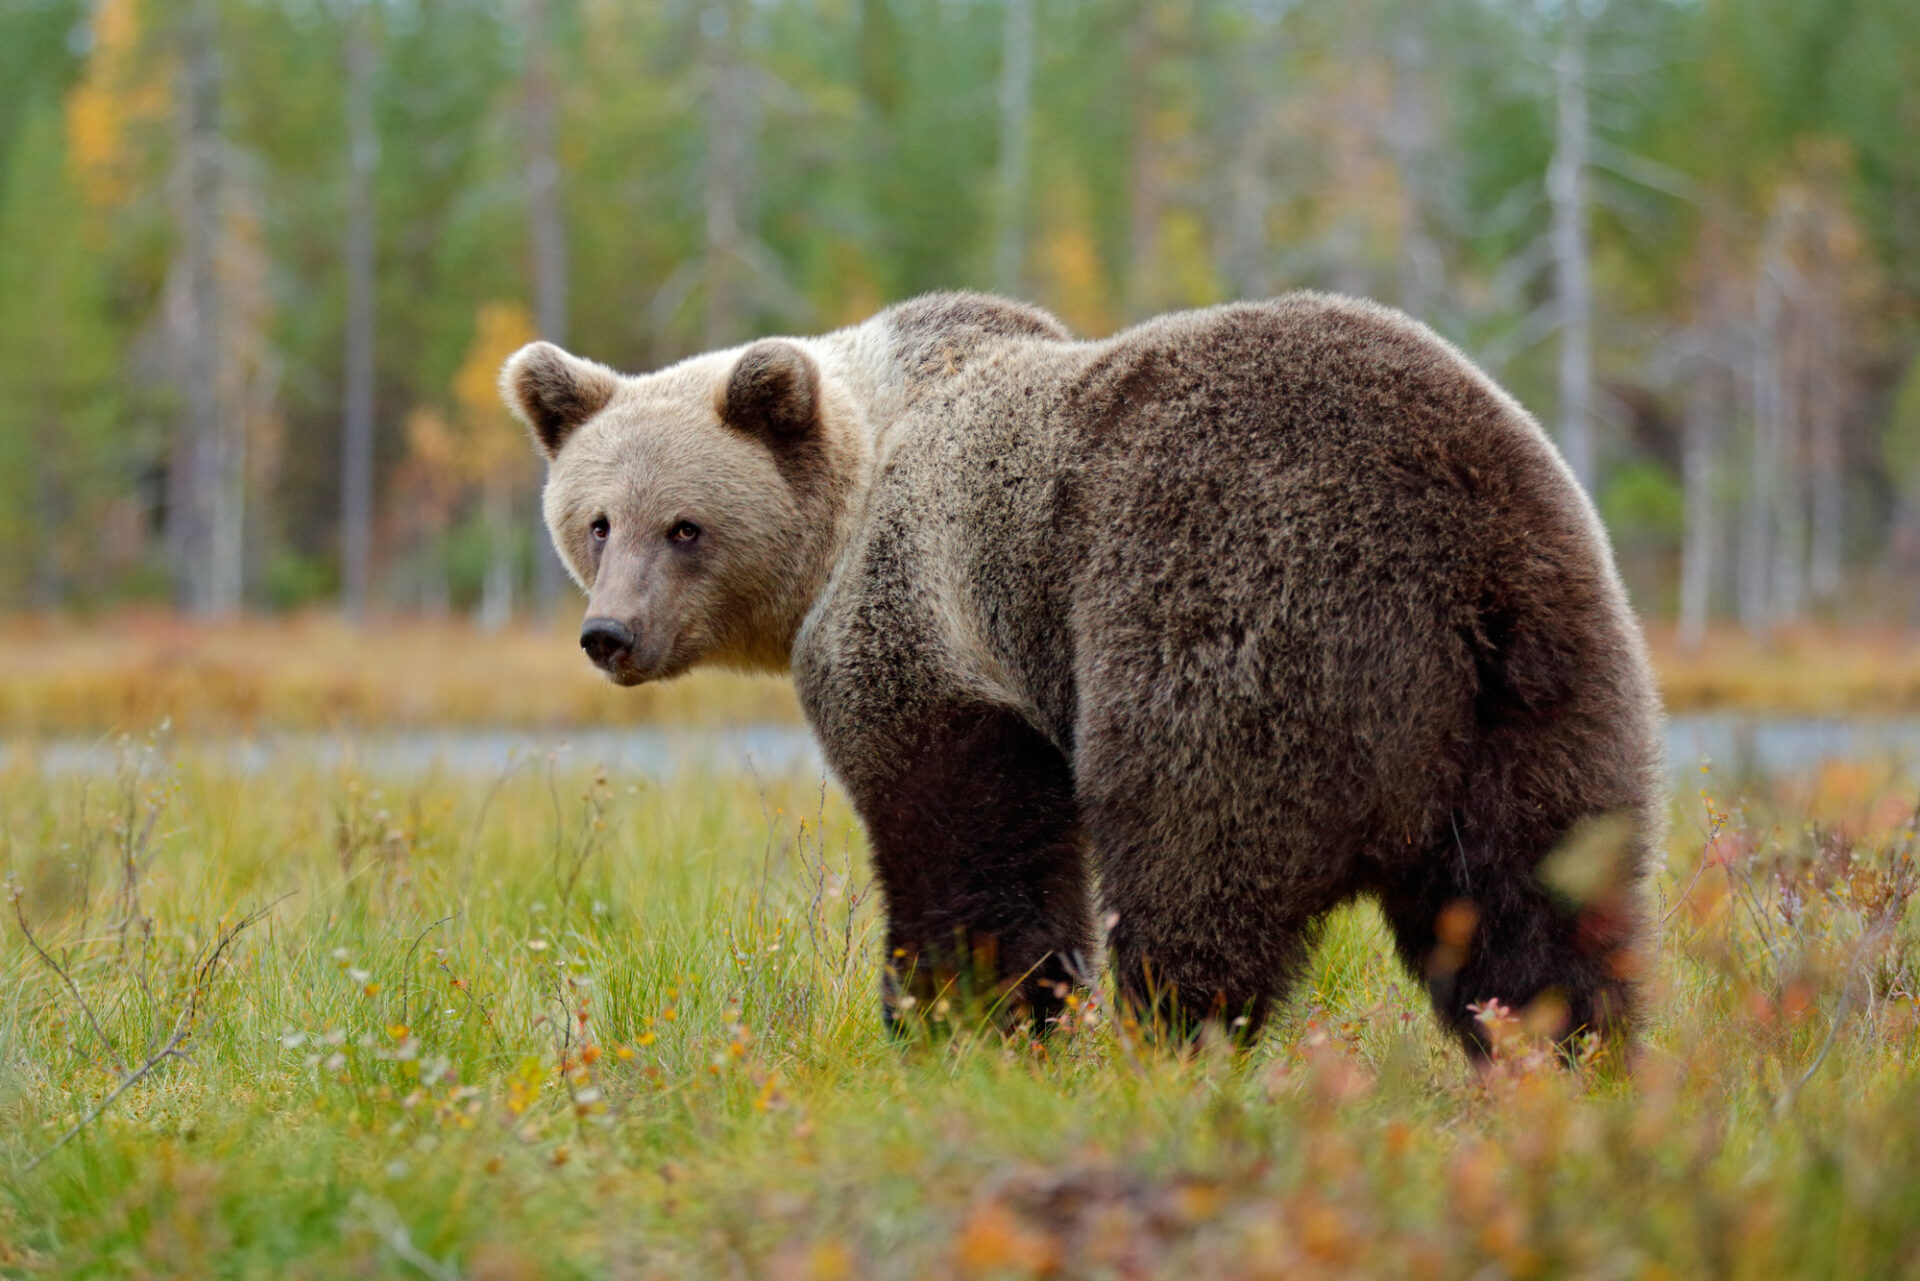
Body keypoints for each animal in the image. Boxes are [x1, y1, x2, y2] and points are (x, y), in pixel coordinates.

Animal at [503, 293, 1658, 1060]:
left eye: (684, 526)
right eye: (595, 520)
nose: (611, 634)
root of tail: (1461, 550)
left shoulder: (935, 616)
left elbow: (966, 843)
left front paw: (959, 1018)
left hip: (1235, 613)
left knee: (1196, 855)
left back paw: (1162, 1043)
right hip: (1548, 673)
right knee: (1539, 896)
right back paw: (1563, 1052)